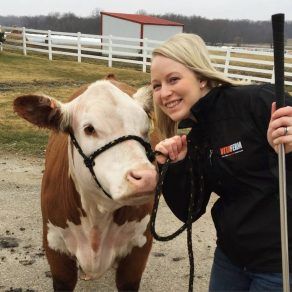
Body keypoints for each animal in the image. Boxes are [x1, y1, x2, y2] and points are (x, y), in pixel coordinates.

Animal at [14, 76, 157, 290]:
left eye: (146, 129)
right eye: (89, 129)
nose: (146, 178)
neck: (97, 215)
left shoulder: (140, 247)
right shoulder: (55, 249)